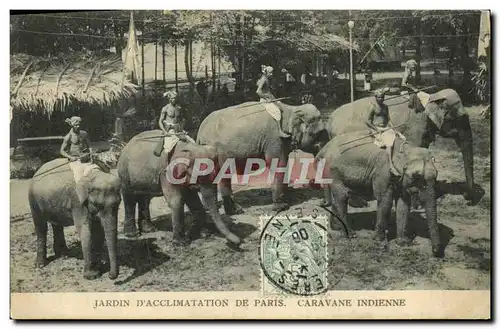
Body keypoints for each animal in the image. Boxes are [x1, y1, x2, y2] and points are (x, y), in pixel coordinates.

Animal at [196, 100, 332, 213]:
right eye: (319, 133)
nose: (321, 203)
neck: (291, 109)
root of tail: (199, 133)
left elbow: (284, 163)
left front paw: (289, 197)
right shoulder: (274, 139)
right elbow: (278, 164)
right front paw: (281, 207)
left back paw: (210, 208)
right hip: (220, 152)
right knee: (224, 177)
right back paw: (235, 211)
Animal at [314, 129, 444, 258]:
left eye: (436, 176)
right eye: (416, 176)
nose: (435, 252)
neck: (404, 148)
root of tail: (323, 149)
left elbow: (403, 204)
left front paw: (403, 242)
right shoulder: (383, 171)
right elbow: (385, 200)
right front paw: (380, 241)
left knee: (338, 198)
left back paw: (336, 227)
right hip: (332, 172)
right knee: (342, 197)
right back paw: (350, 234)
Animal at [326, 87, 482, 205]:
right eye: (460, 119)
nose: (467, 198)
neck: (432, 97)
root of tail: (329, 120)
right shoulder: (416, 126)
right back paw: (357, 202)